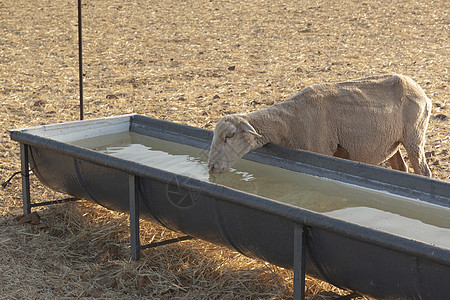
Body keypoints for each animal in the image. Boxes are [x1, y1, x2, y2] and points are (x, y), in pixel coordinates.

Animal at [207, 74, 432, 177]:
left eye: (229, 135)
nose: (210, 167)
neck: (289, 122)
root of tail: (419, 89)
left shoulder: (321, 151)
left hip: (414, 137)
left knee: (423, 172)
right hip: (392, 141)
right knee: (400, 167)